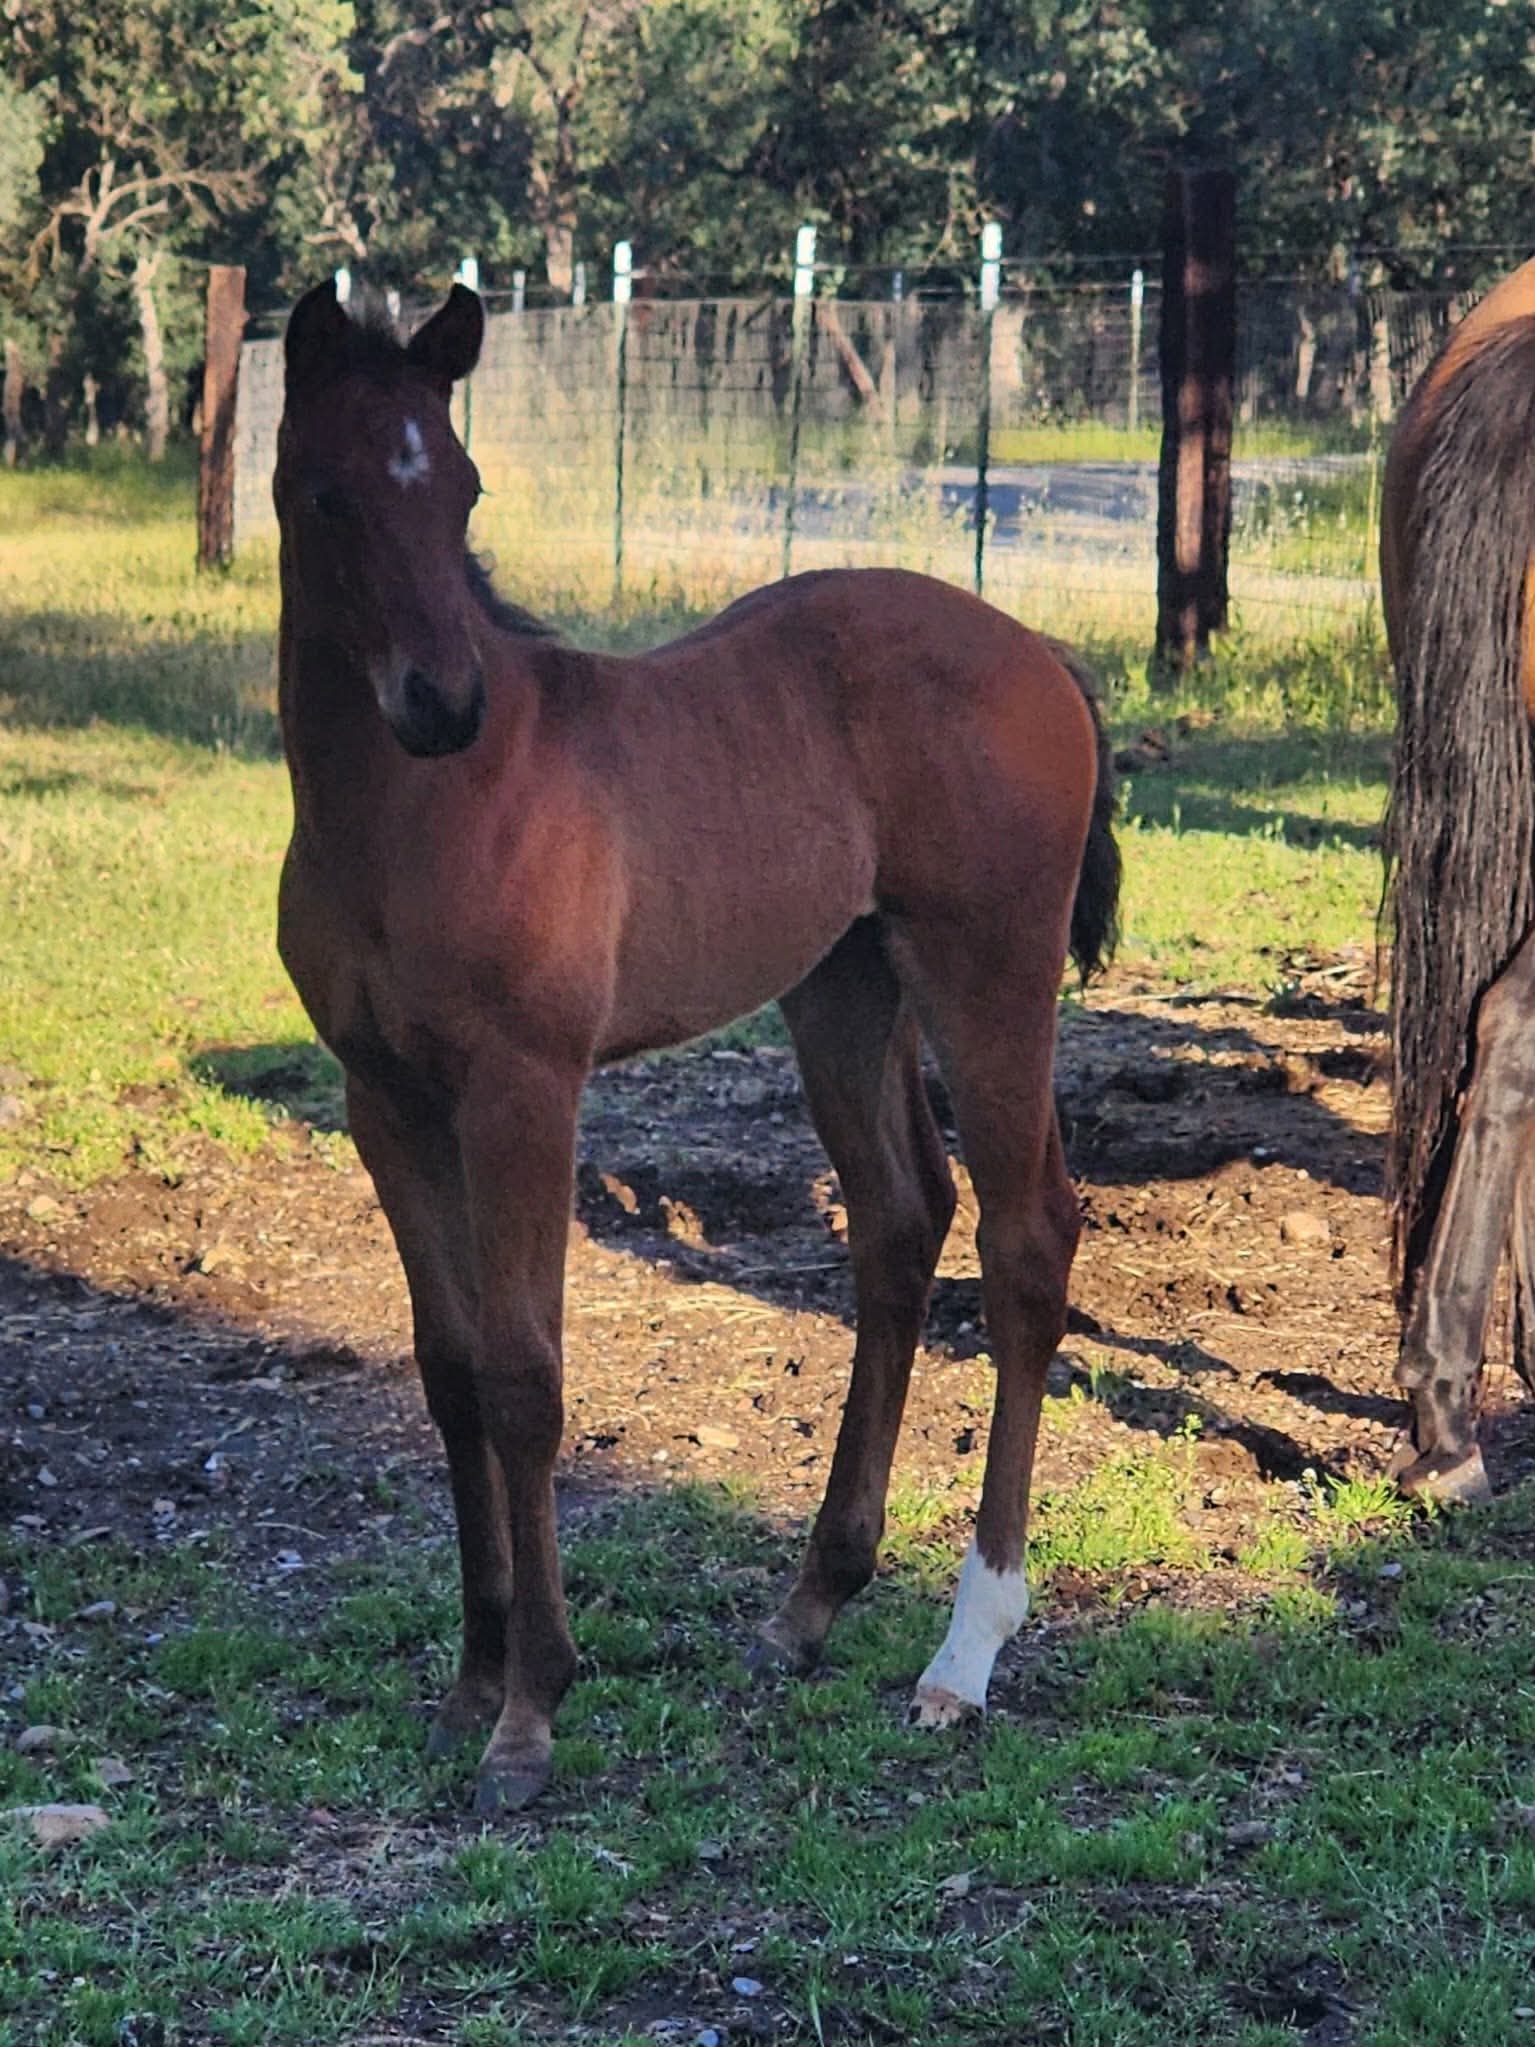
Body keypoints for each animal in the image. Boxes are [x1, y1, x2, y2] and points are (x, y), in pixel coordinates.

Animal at [273, 278, 1120, 1814]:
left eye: (462, 487)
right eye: (328, 492)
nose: (444, 702)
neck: (412, 813)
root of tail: (1037, 651)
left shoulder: (524, 1091)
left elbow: (523, 1376)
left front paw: (529, 1710)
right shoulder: (385, 1099)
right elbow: (446, 1371)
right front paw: (470, 1676)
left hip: (986, 974)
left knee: (1026, 1235)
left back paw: (963, 1652)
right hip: (842, 988)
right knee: (899, 1221)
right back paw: (811, 1601)